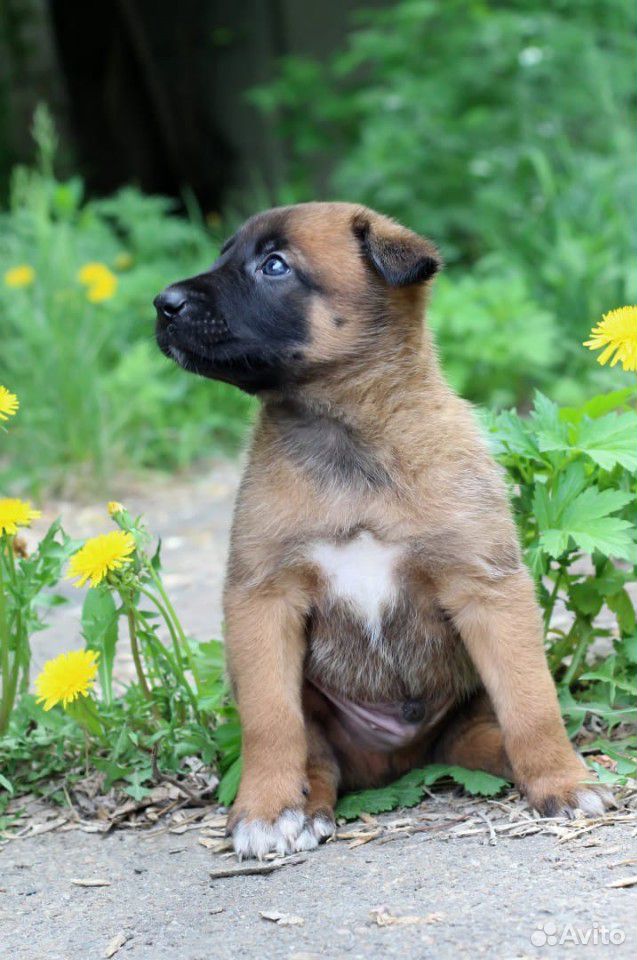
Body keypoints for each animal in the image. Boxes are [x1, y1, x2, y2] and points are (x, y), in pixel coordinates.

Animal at [155, 204, 612, 864]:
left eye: (274, 266)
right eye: (224, 256)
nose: (162, 303)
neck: (348, 437)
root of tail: (402, 760)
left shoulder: (488, 587)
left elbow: (532, 704)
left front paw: (564, 782)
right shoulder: (263, 598)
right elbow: (270, 723)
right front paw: (265, 810)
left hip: (467, 714)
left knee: (498, 733)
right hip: (321, 714)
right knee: (315, 759)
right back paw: (301, 810)